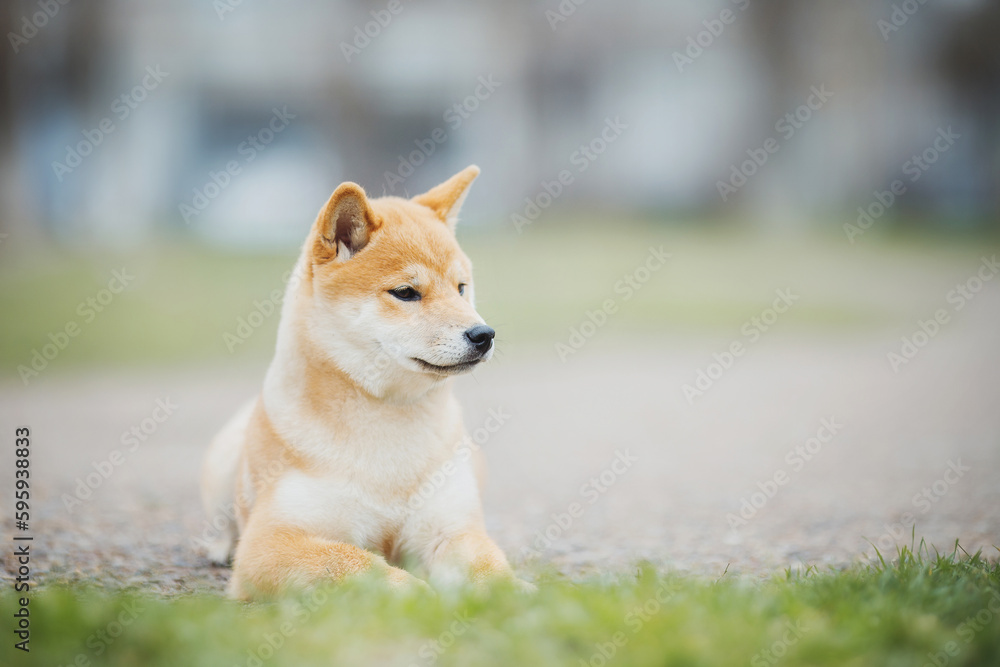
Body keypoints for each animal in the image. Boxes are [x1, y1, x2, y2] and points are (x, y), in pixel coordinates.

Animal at [199, 167, 528, 600]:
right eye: (406, 292)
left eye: (461, 288)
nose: (483, 334)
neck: (388, 428)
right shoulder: (271, 543)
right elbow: (355, 564)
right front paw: (420, 597)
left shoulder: (451, 529)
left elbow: (489, 567)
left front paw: (518, 592)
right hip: (224, 460)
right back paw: (219, 547)